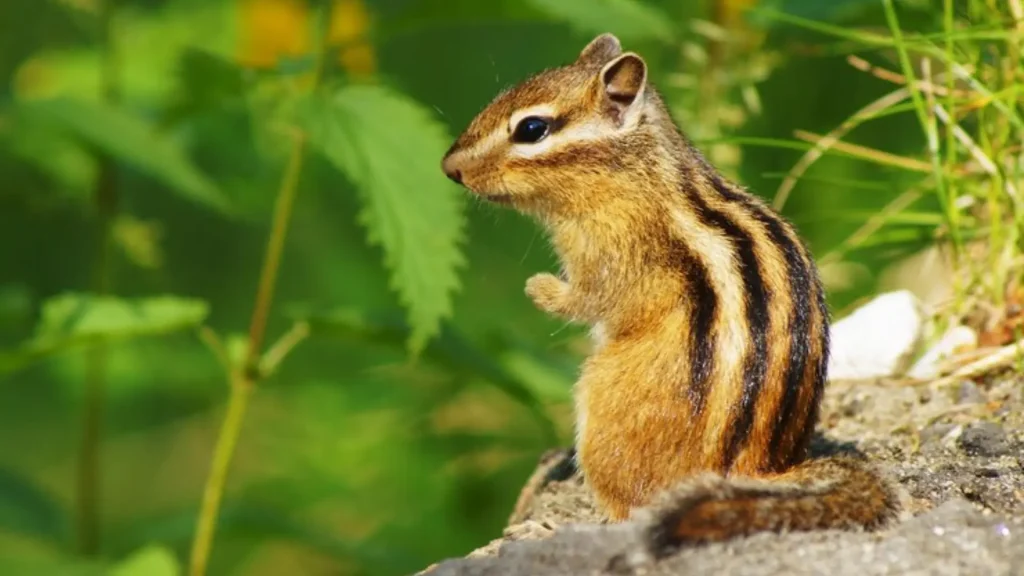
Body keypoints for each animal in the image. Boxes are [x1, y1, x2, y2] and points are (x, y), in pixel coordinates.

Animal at [440, 33, 899, 558]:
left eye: (532, 129)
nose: (449, 168)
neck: (636, 172)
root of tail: (758, 472)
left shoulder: (607, 251)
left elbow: (586, 299)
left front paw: (538, 287)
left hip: (605, 412)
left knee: (632, 507)